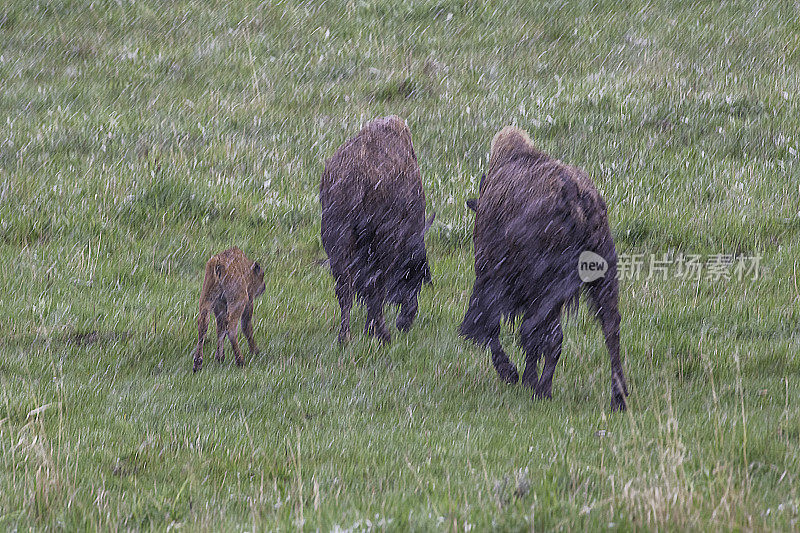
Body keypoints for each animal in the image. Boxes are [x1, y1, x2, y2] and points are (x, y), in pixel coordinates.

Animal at [320, 114, 438, 342]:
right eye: (416, 274)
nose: (406, 322)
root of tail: (355, 178)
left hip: (336, 237)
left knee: (345, 288)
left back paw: (344, 338)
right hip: (380, 240)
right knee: (374, 285)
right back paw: (382, 334)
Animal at [460, 127, 628, 410]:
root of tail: (574, 196)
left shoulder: (490, 275)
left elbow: (492, 326)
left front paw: (513, 374)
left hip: (544, 287)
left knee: (546, 334)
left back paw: (540, 390)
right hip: (602, 277)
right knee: (610, 329)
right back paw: (618, 398)